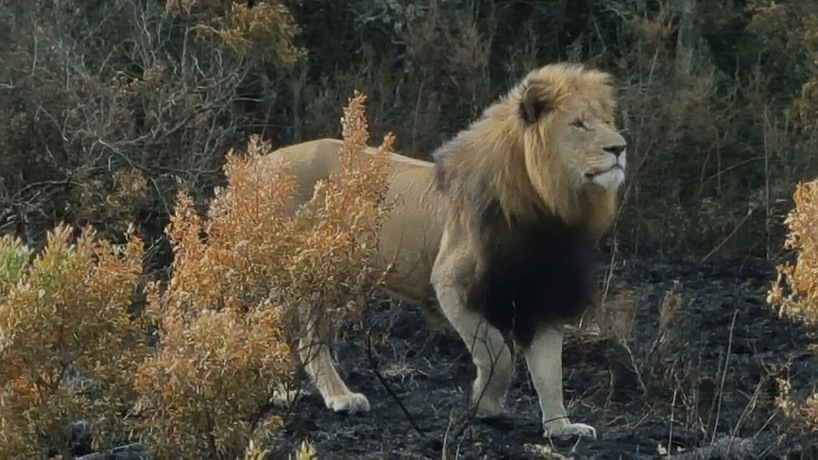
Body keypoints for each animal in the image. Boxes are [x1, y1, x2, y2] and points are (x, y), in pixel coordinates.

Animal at [262, 63, 624, 440]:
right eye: (579, 124)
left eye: (607, 121)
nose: (620, 148)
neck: (550, 210)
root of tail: (263, 161)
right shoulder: (453, 285)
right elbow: (498, 353)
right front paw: (486, 405)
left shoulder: (544, 295)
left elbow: (550, 372)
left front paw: (561, 428)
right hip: (315, 276)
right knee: (301, 335)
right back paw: (338, 397)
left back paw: (287, 391)